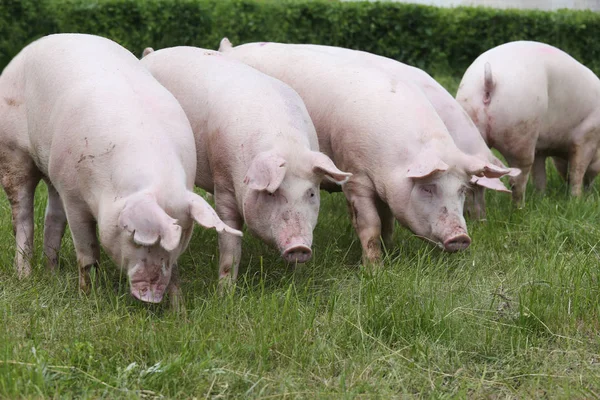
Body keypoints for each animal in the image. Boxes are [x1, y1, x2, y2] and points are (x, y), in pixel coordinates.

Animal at [0, 34, 240, 304]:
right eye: (135, 235)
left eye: (183, 237)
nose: (152, 296)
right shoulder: (73, 196)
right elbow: (87, 250)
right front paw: (88, 297)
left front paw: (179, 308)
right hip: (12, 152)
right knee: (22, 217)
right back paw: (25, 275)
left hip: (52, 167)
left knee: (52, 217)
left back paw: (52, 272)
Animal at [140, 47, 350, 282]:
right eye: (272, 193)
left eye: (311, 193)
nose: (299, 247)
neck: (285, 142)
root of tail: (151, 54)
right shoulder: (223, 182)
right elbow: (230, 245)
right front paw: (225, 289)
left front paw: (297, 279)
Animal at [218, 38, 508, 262]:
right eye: (428, 188)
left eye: (462, 190)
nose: (462, 236)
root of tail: (229, 50)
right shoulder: (355, 173)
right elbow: (371, 223)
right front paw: (374, 269)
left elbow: (388, 219)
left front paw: (391, 251)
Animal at [458, 41, 600, 205]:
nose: (591, 192)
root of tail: (490, 81)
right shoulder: (587, 136)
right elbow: (577, 170)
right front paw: (577, 200)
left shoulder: (540, 148)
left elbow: (540, 176)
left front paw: (541, 198)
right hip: (521, 130)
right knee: (518, 177)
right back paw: (520, 207)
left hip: (468, 120)